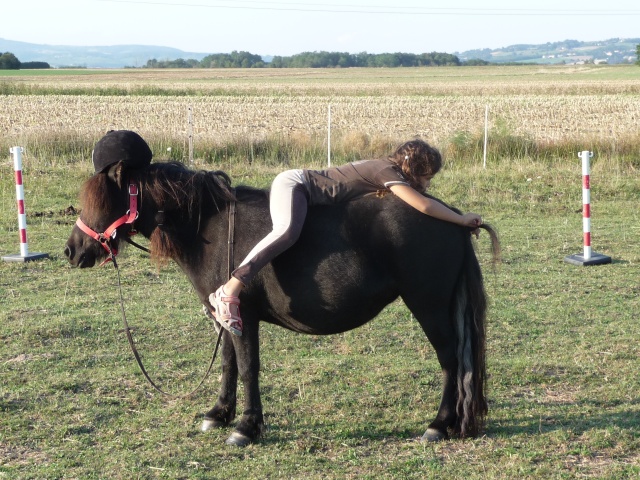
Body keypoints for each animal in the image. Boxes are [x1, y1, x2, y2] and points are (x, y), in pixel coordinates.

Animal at [63, 161, 500, 446]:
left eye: (103, 200)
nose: (72, 250)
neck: (211, 228)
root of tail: (454, 217)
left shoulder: (244, 318)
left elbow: (248, 368)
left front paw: (245, 427)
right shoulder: (226, 320)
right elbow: (229, 365)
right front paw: (218, 414)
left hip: (428, 306)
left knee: (451, 361)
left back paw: (439, 425)